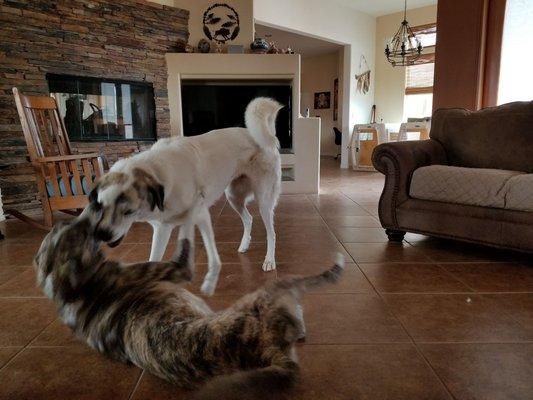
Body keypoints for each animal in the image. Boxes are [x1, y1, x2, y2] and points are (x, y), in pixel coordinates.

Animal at [35, 214, 344, 398]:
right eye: (72, 234)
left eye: (61, 233)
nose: (83, 217)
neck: (82, 290)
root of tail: (273, 350)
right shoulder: (175, 269)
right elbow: (183, 245)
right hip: (269, 292)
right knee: (303, 296)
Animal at [84, 97, 282, 294]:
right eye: (100, 206)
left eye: (127, 211)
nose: (100, 234)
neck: (161, 177)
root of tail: (264, 136)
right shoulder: (161, 228)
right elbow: (154, 259)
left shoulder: (190, 218)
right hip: (234, 197)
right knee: (248, 218)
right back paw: (244, 245)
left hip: (263, 200)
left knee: (271, 233)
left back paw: (269, 260)